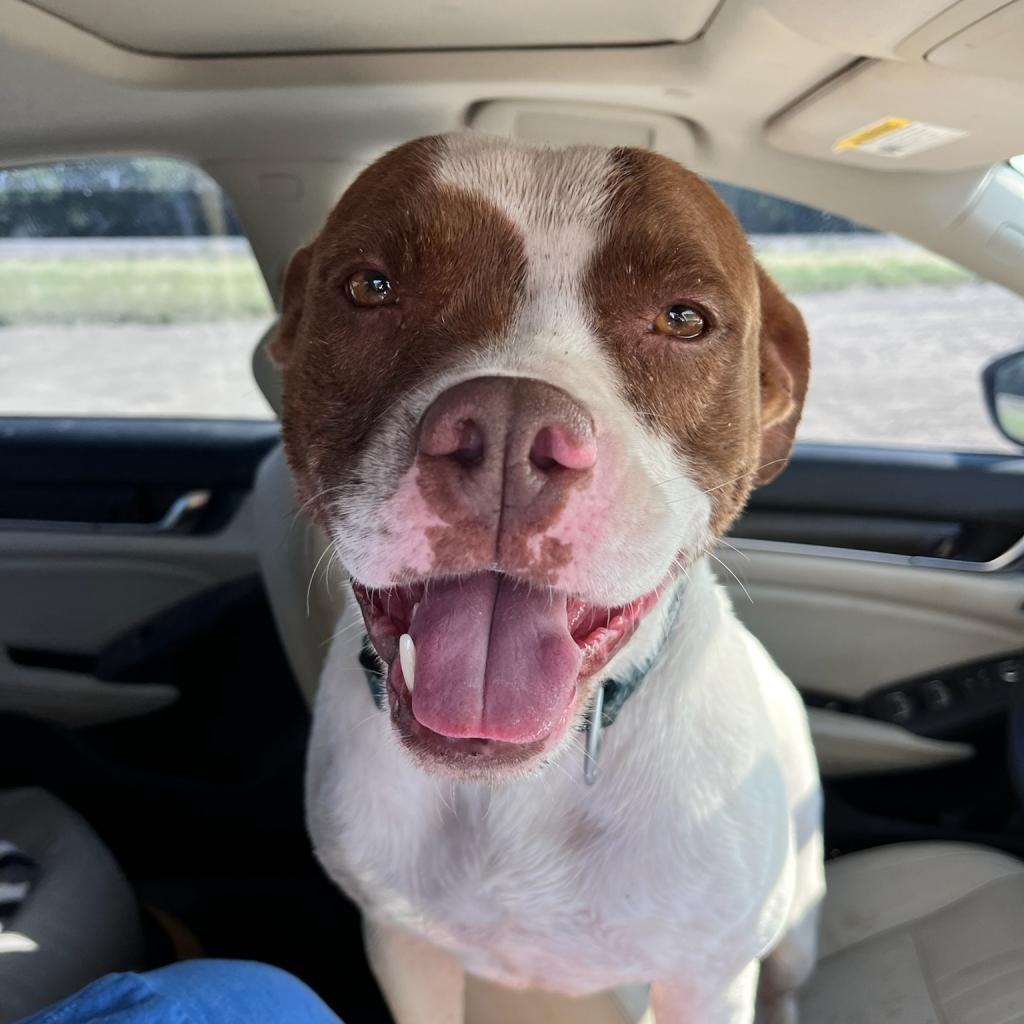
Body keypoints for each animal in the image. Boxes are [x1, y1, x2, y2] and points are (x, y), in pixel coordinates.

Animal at [270, 134, 823, 1024]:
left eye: (684, 318)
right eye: (370, 286)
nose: (506, 430)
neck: (520, 789)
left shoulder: (706, 979)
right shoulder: (405, 949)